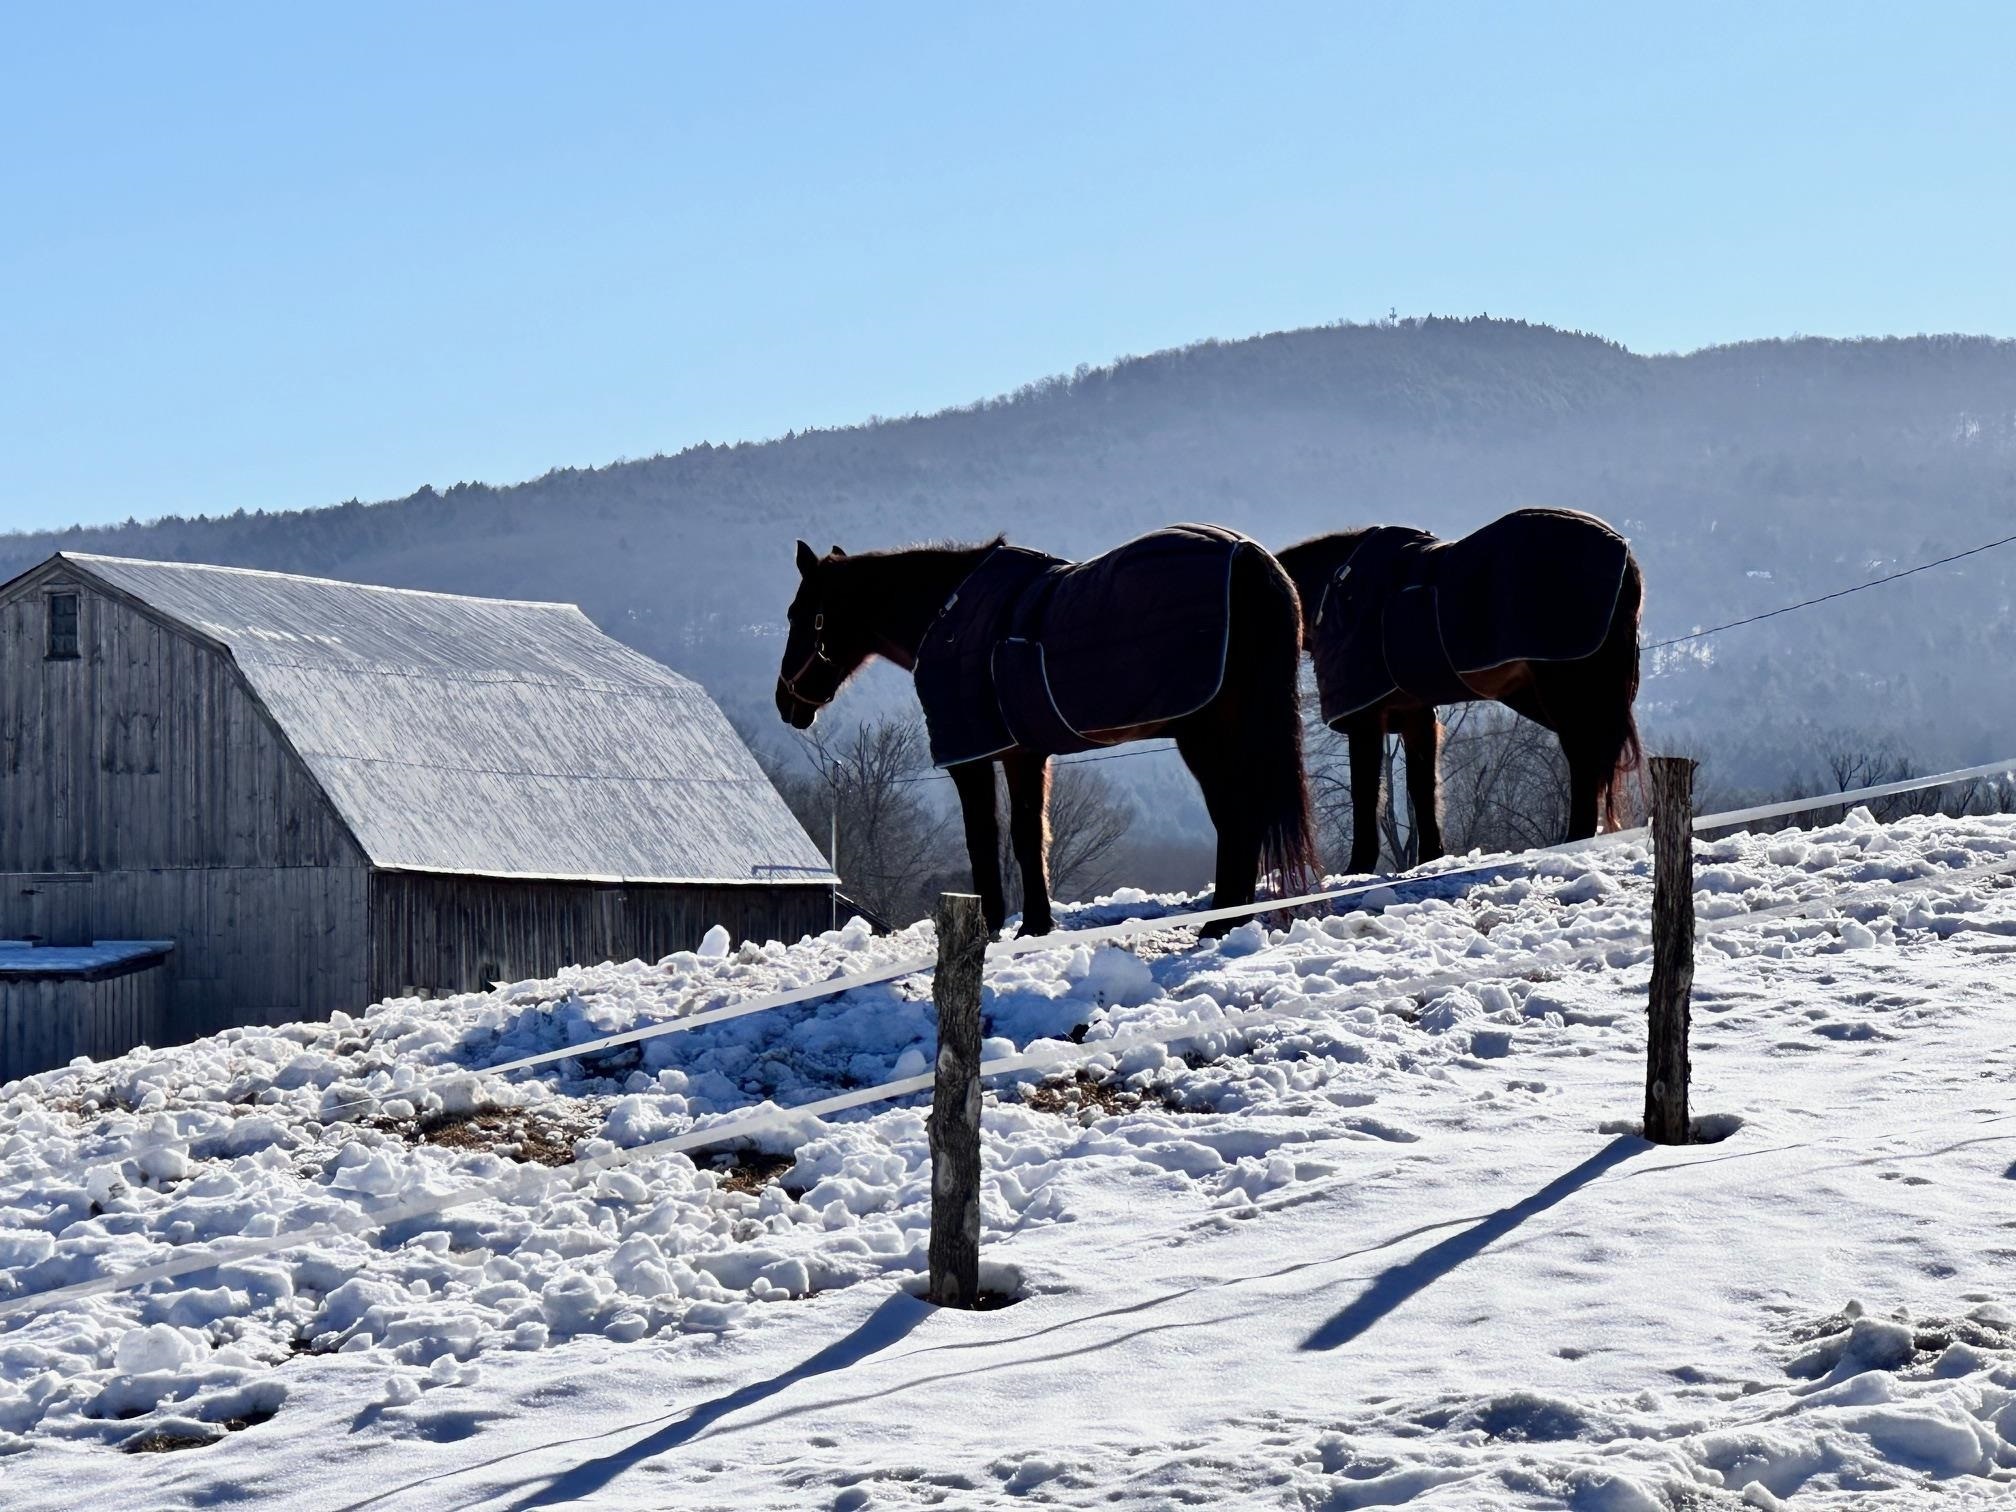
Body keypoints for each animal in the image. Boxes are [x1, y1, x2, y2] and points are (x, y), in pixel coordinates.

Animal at [774, 528, 1322, 935]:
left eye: (802, 615)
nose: (785, 702)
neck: (947, 616)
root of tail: (1248, 559)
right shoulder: (1025, 754)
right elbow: (1029, 833)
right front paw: (1035, 924)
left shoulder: (971, 757)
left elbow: (986, 837)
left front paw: (994, 923)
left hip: (1207, 736)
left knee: (1237, 818)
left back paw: (1221, 924)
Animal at [1282, 510, 1645, 874]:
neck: (1335, 590)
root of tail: (1621, 552)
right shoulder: (1416, 716)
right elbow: (1422, 788)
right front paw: (1430, 857)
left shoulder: (1365, 719)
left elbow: (1366, 791)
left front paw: (1358, 866)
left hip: (1565, 692)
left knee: (1583, 760)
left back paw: (1574, 839)